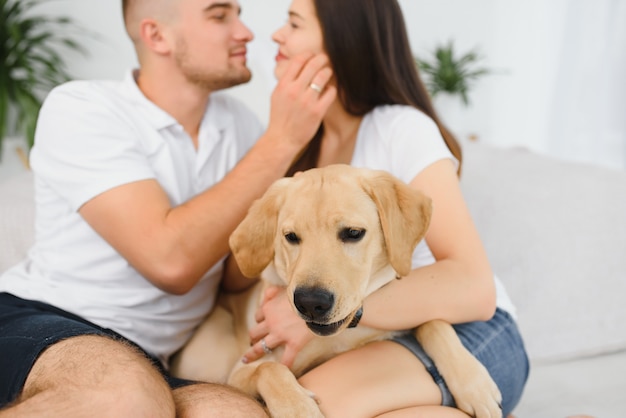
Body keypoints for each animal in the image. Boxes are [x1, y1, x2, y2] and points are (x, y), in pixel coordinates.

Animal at [172, 165, 502, 416]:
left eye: (353, 233)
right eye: (291, 237)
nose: (310, 303)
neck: (342, 337)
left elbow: (434, 321)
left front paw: (475, 385)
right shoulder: (239, 372)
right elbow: (270, 370)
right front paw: (297, 409)